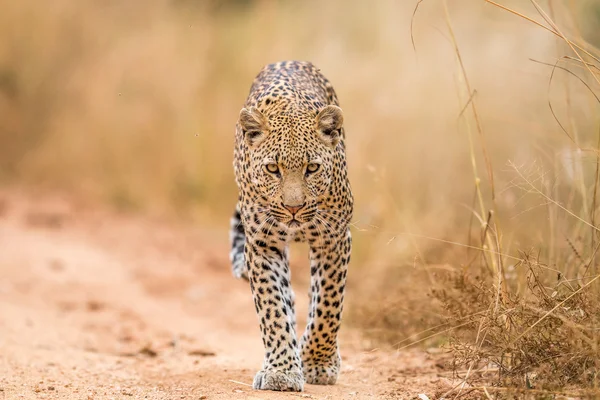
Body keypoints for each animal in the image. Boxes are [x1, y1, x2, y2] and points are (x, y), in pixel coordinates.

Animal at [229, 61, 352, 392]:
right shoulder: (262, 244)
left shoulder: (334, 239)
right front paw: (282, 371)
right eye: (273, 168)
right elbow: (272, 307)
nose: (293, 207)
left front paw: (318, 363)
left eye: (312, 168)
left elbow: (327, 305)